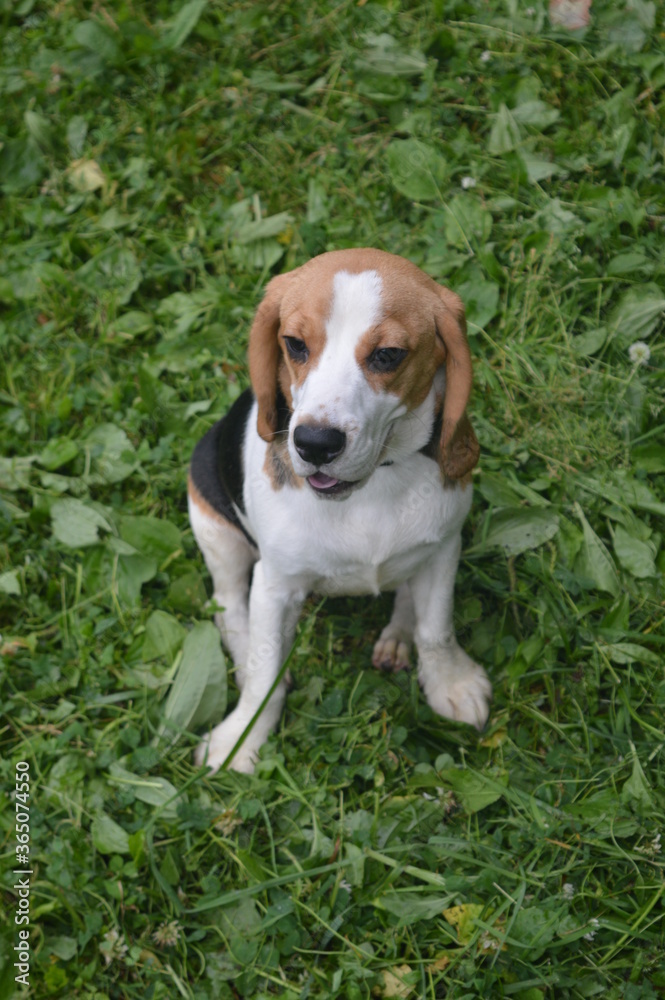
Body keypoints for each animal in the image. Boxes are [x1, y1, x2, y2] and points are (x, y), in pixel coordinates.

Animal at [185, 248, 488, 772]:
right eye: (294, 344)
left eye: (388, 355)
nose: (314, 443)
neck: (373, 485)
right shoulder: (275, 583)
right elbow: (264, 671)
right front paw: (242, 738)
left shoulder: (443, 548)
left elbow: (437, 629)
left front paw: (450, 682)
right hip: (210, 519)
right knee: (228, 604)